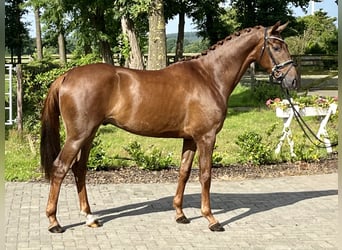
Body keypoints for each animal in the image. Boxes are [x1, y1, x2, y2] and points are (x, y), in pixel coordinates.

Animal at [40, 21, 296, 232]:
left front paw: (180, 214)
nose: (292, 80)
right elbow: (205, 175)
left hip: (89, 134)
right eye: (275, 47)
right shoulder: (206, 137)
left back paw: (90, 217)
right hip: (78, 135)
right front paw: (211, 219)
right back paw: (54, 222)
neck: (209, 76)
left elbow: (183, 173)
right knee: (60, 168)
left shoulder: (190, 139)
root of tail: (66, 76)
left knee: (79, 169)